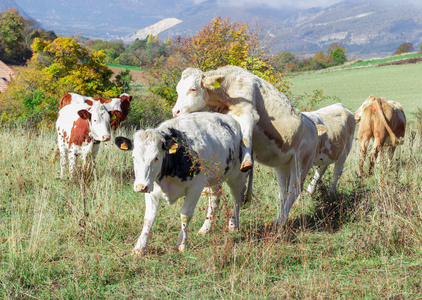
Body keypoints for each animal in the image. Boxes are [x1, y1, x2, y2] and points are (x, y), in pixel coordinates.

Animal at [115, 111, 251, 254]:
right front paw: (139, 247)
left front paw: (181, 244)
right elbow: (148, 218)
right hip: (214, 178)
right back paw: (205, 228)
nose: (140, 187)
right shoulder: (151, 189)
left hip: (238, 175)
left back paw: (233, 225)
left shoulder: (195, 188)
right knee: (214, 198)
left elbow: (185, 215)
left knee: (237, 198)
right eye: (134, 157)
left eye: (156, 158)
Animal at [171, 65, 324, 225]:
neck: (227, 90)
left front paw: (246, 161)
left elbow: (246, 137)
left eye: (193, 89)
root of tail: (312, 125)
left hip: (301, 163)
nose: (175, 111)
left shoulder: (248, 114)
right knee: (284, 191)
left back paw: (282, 221)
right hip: (282, 166)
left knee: (294, 190)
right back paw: (277, 219)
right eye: (178, 90)